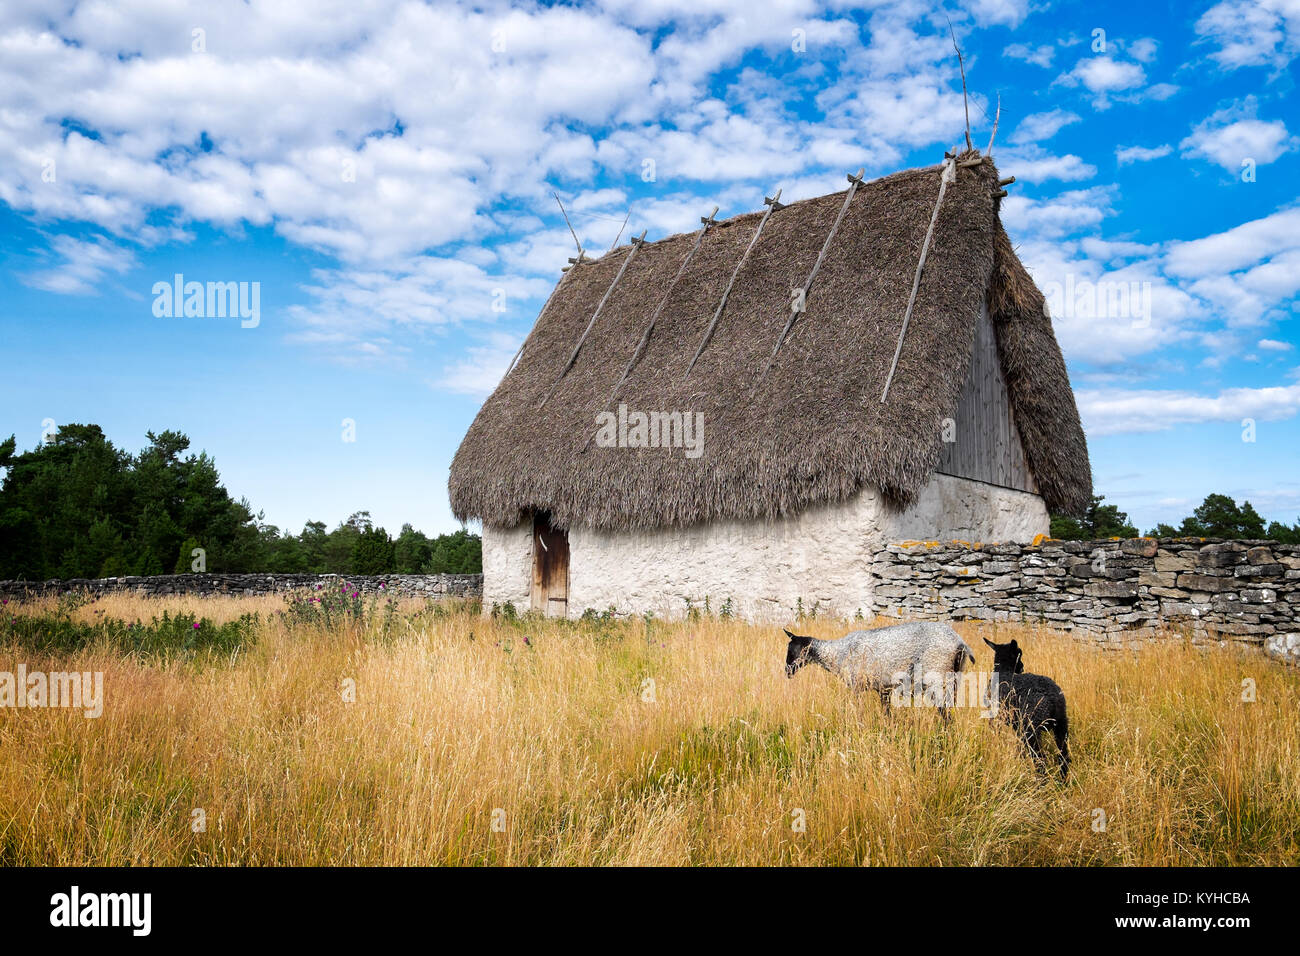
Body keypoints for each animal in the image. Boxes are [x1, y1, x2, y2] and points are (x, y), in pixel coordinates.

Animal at [780, 621, 977, 717]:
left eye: (791, 651)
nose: (787, 672)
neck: (836, 653)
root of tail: (960, 644)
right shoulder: (884, 688)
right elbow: (886, 713)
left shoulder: (858, 685)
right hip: (954, 677)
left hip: (936, 672)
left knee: (944, 712)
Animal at [977, 639, 1071, 780]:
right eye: (1019, 654)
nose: (1022, 667)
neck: (1004, 671)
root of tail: (1053, 698)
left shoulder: (997, 717)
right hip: (1061, 724)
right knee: (1063, 756)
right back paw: (1063, 780)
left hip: (1031, 729)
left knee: (1040, 759)